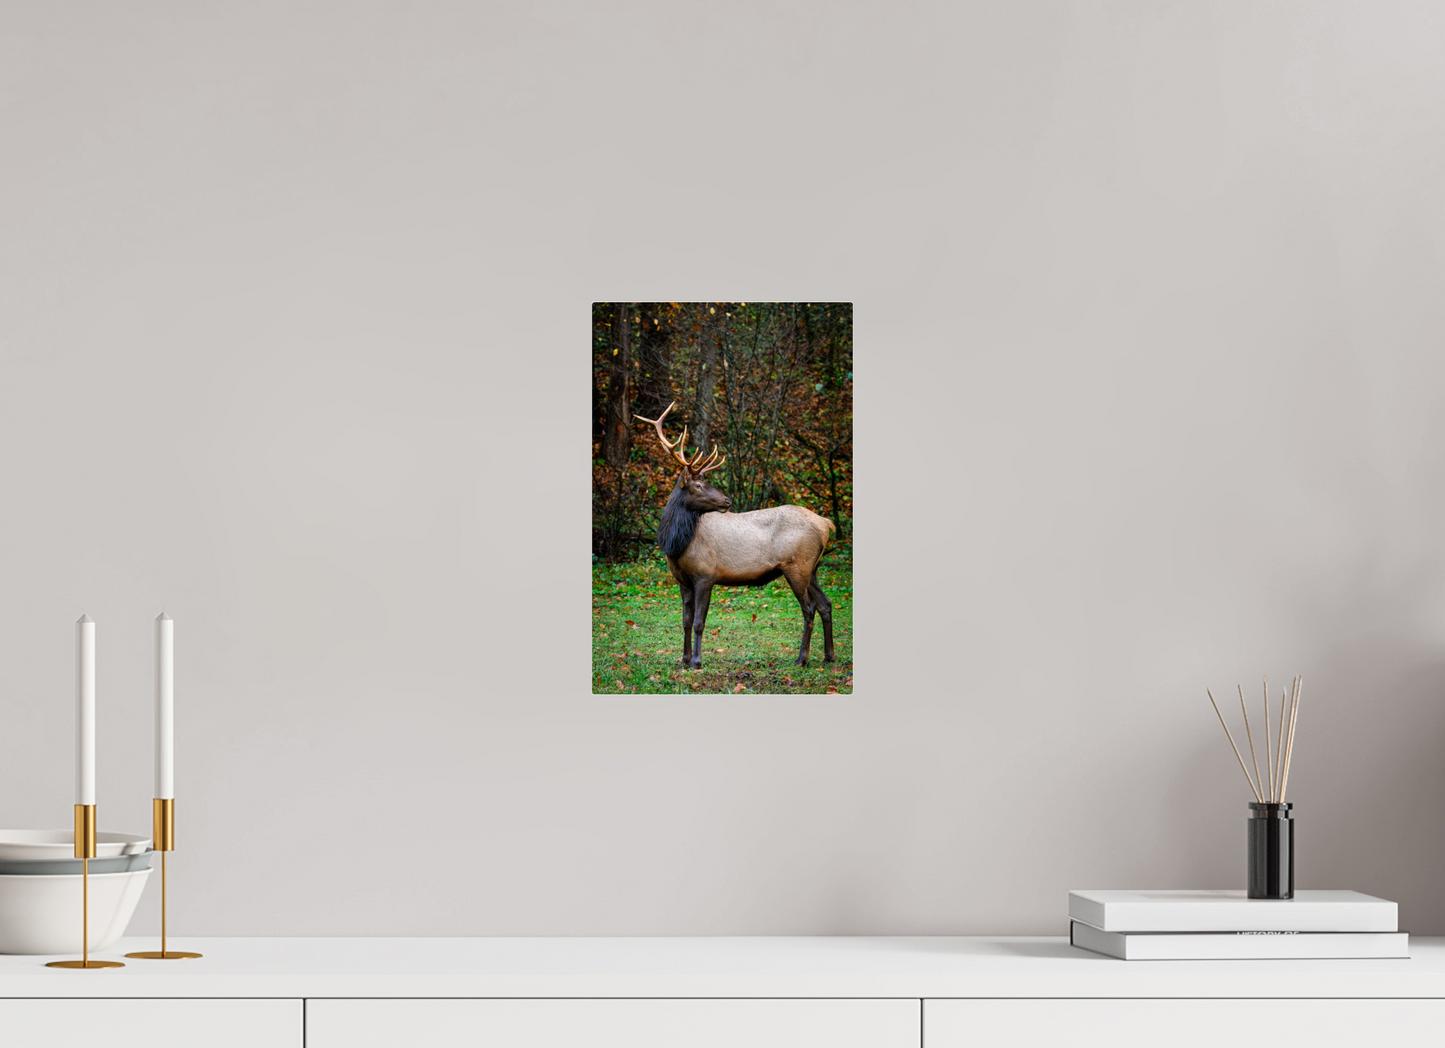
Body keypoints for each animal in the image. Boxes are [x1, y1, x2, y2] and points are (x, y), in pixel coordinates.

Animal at [635, 402, 836, 671]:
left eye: (704, 482)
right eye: (698, 485)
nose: (727, 500)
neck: (677, 545)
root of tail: (826, 523)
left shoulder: (706, 575)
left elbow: (699, 622)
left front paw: (696, 661)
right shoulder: (683, 581)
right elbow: (685, 621)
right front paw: (683, 660)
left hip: (797, 566)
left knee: (810, 607)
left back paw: (802, 659)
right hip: (812, 568)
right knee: (825, 604)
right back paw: (828, 656)